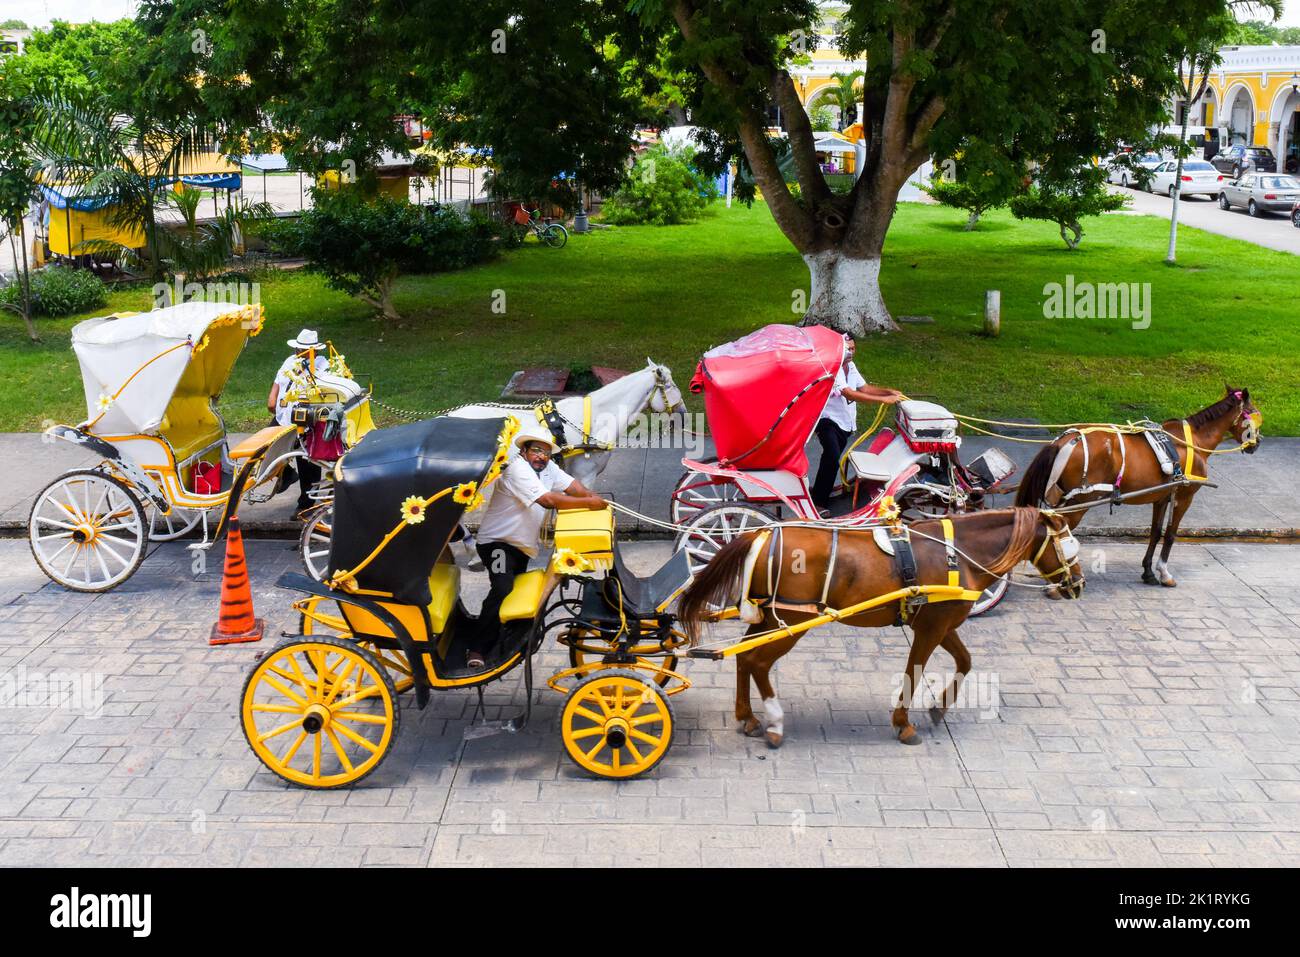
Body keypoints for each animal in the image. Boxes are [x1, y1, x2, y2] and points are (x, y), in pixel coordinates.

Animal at [676, 509, 1081, 748]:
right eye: (1067, 545)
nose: (1077, 584)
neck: (958, 554)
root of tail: (759, 534)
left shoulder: (941, 623)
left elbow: (965, 662)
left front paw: (939, 708)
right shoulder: (930, 628)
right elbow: (914, 672)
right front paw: (904, 723)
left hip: (770, 619)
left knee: (743, 661)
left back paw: (747, 718)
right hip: (794, 620)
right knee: (758, 664)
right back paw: (774, 724)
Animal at [1013, 387, 1258, 582]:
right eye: (1256, 414)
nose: (1256, 443)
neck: (1193, 442)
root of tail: (1063, 441)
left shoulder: (1162, 496)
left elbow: (1155, 532)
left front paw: (1148, 571)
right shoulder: (1184, 496)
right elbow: (1171, 534)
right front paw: (1164, 572)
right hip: (1081, 500)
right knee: (1059, 531)